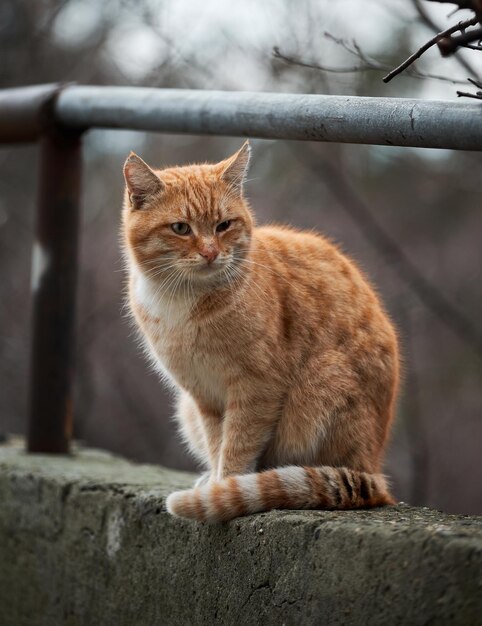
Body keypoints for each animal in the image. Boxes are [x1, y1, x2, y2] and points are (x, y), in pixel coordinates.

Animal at [121, 141, 400, 520]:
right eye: (180, 228)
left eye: (224, 225)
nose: (210, 252)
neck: (182, 300)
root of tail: (375, 471)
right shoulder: (204, 396)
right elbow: (217, 442)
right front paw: (216, 480)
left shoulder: (257, 388)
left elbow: (237, 445)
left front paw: (225, 487)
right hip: (189, 410)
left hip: (324, 383)